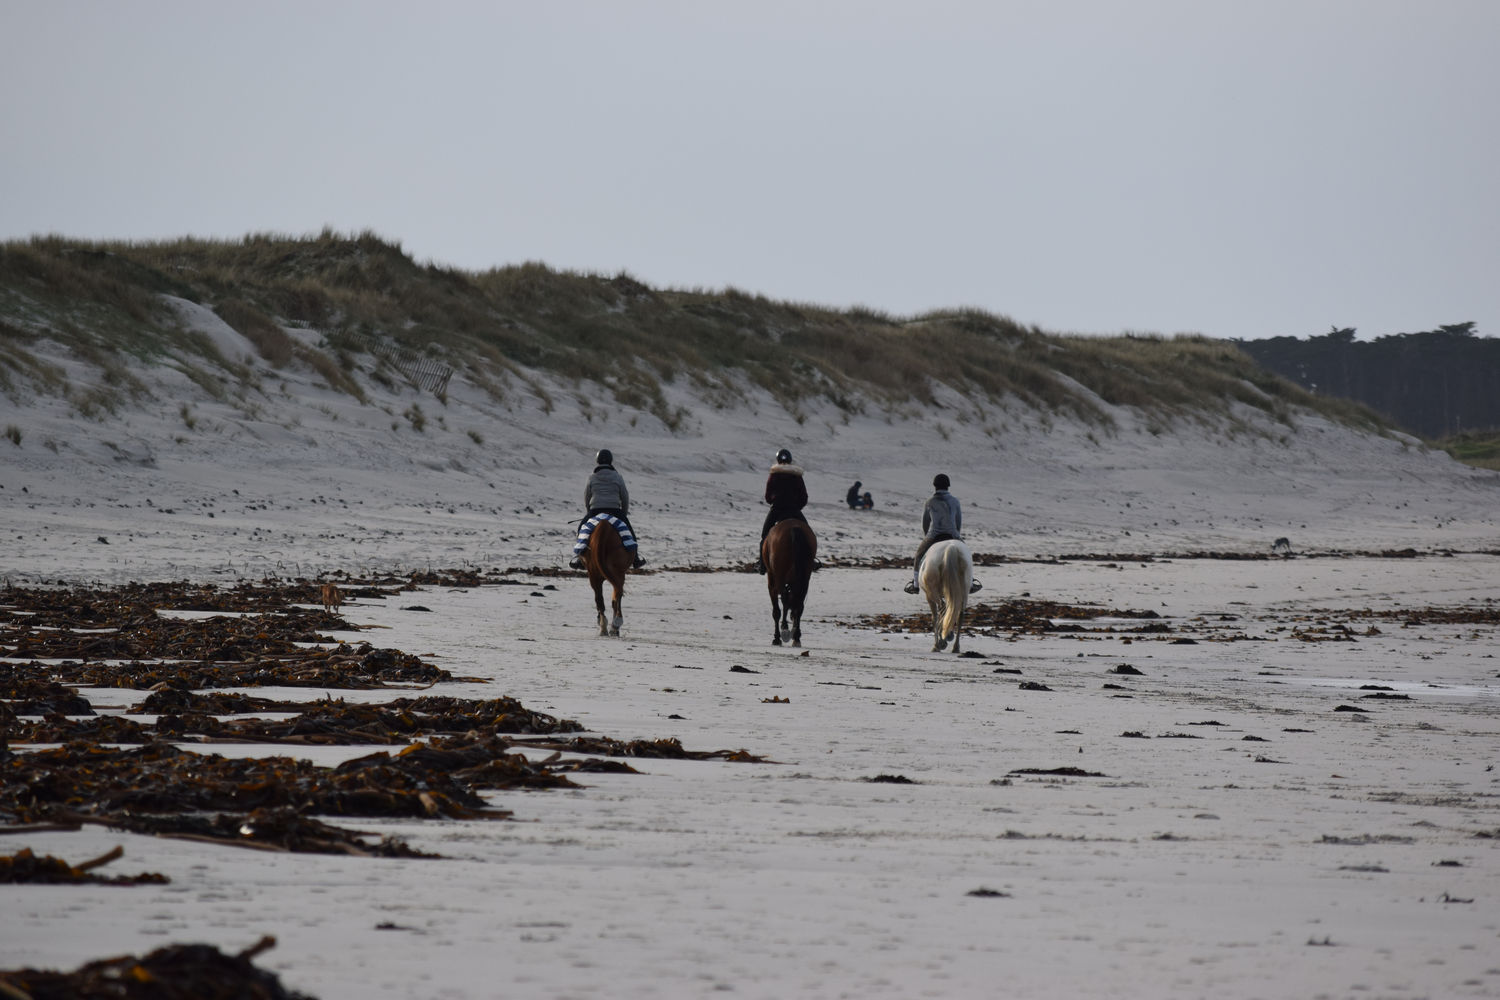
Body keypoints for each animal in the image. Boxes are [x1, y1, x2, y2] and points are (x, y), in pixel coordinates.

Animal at [762, 515, 822, 650]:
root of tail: (793, 528)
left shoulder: (772, 582)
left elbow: (777, 609)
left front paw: (778, 637)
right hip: (804, 579)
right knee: (799, 604)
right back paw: (796, 636)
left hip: (778, 578)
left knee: (783, 602)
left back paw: (783, 631)